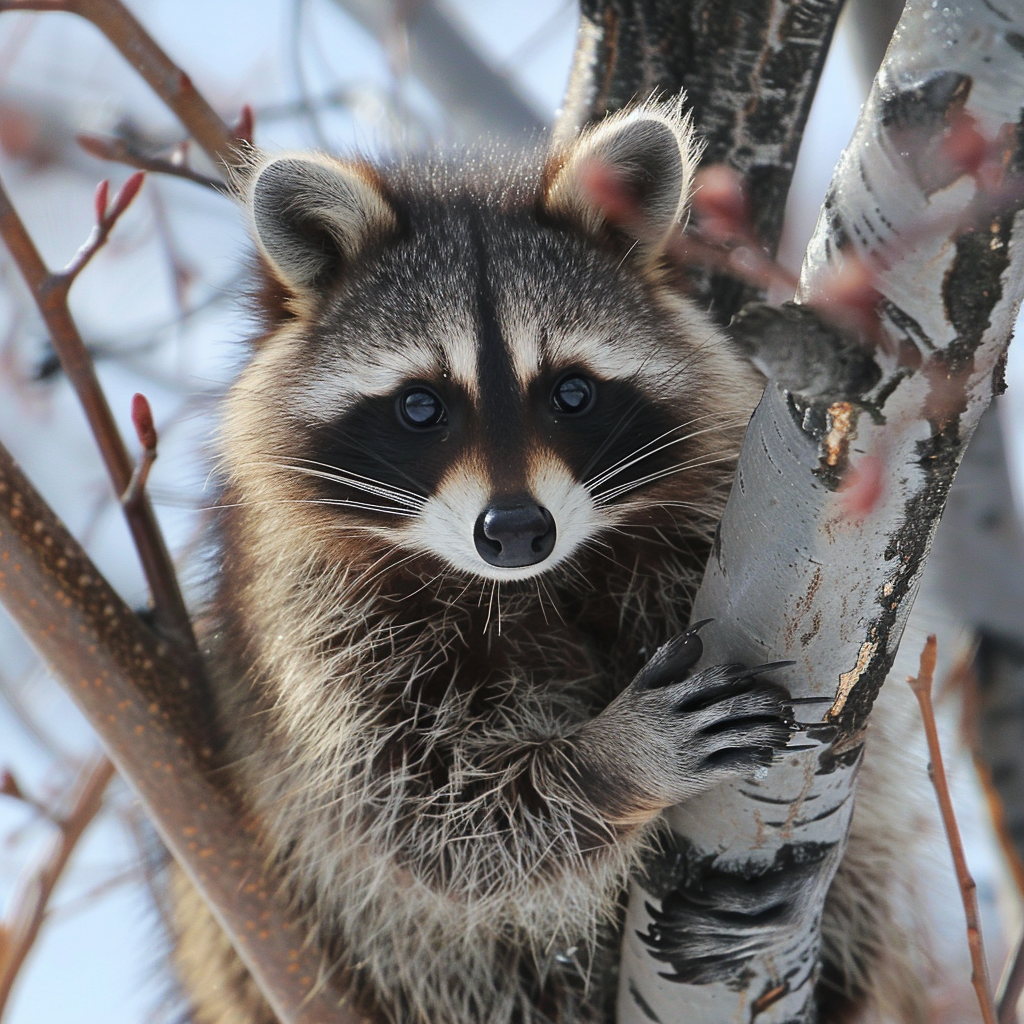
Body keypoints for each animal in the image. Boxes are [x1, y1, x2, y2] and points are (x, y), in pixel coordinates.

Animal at [167, 97, 921, 1024]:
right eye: (421, 406)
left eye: (571, 392)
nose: (517, 530)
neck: (518, 585)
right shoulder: (306, 607)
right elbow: (418, 804)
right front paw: (609, 762)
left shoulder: (709, 494)